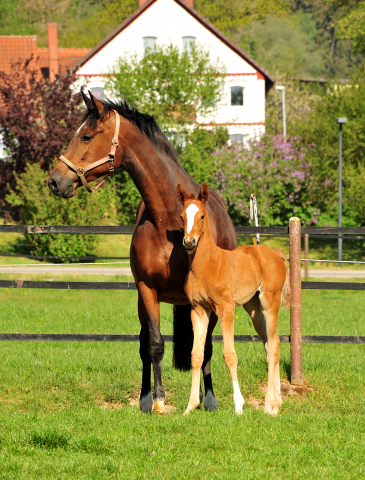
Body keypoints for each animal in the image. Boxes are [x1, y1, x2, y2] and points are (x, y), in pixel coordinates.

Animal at [176, 184, 290, 416]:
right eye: (182, 216)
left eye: (202, 215)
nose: (189, 242)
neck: (207, 264)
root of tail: (275, 253)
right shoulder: (198, 309)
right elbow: (196, 355)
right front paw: (190, 406)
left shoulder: (225, 308)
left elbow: (229, 354)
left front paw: (239, 405)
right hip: (253, 309)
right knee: (270, 343)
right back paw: (277, 401)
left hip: (269, 302)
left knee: (274, 345)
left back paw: (270, 404)